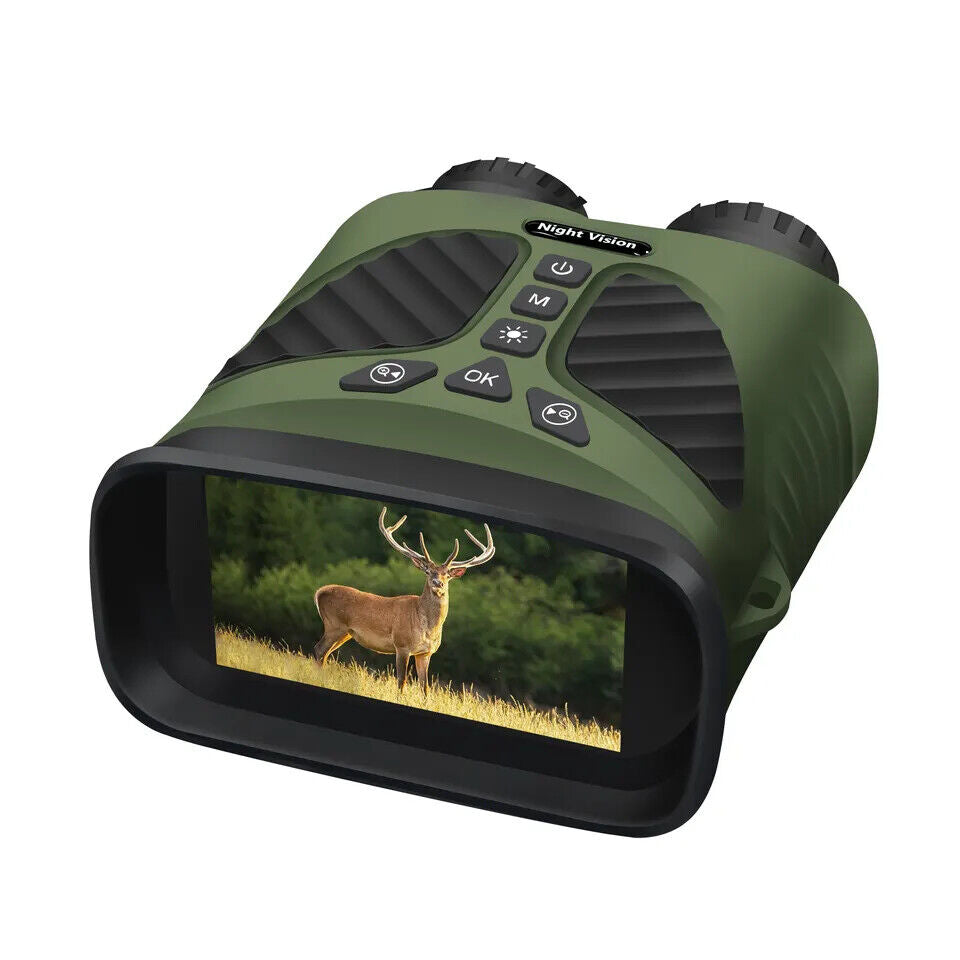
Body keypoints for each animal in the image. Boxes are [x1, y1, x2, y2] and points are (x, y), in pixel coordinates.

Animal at [313, 507, 495, 692]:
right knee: (319, 649)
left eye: (447, 575)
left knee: (325, 654)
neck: (428, 628)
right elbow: (401, 681)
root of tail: (320, 592)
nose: (438, 583)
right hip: (334, 625)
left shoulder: (425, 652)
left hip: (345, 633)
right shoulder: (402, 645)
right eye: (428, 571)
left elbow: (425, 686)